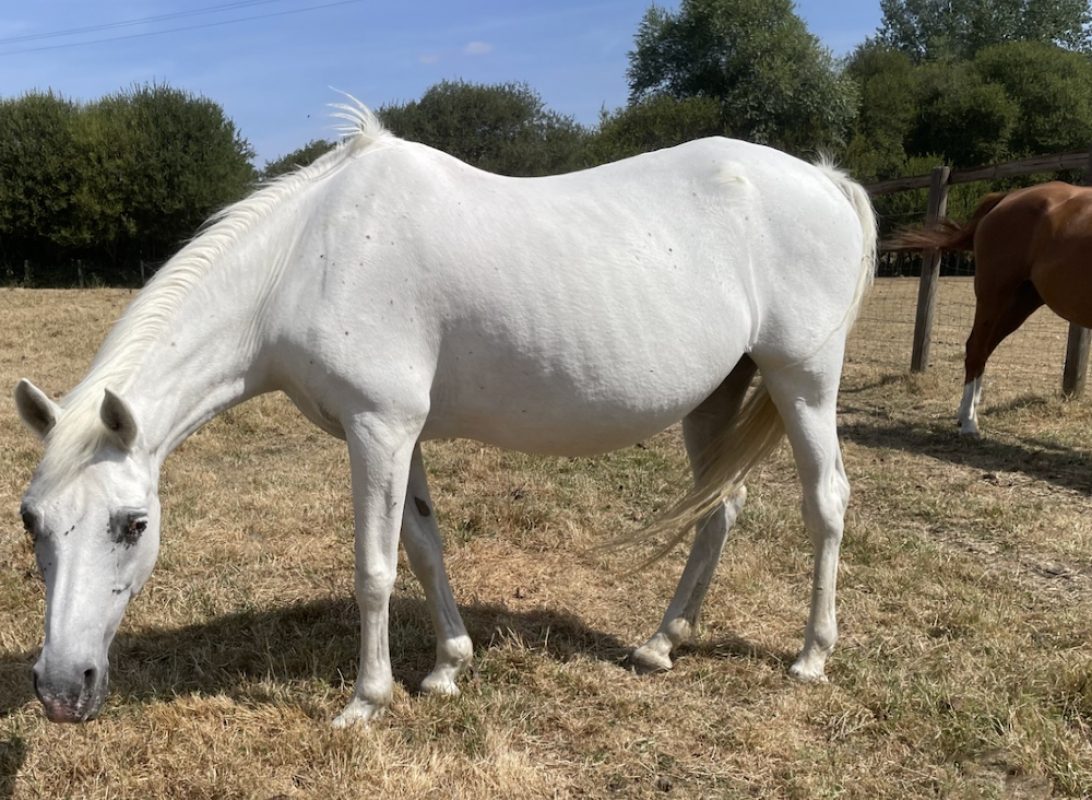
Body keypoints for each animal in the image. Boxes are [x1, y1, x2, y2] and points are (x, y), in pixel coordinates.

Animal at [15, 100, 876, 727]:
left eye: (133, 525)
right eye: (32, 524)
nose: (60, 688)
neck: (307, 257)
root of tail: (826, 181)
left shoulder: (378, 429)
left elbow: (374, 568)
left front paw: (365, 702)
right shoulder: (401, 435)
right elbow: (424, 548)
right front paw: (446, 668)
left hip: (801, 381)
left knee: (825, 502)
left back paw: (811, 656)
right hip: (717, 396)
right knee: (719, 509)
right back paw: (661, 644)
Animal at [887, 181, 1092, 436]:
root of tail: (1005, 199)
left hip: (1020, 303)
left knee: (984, 349)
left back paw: (967, 413)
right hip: (993, 296)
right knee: (976, 349)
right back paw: (968, 422)